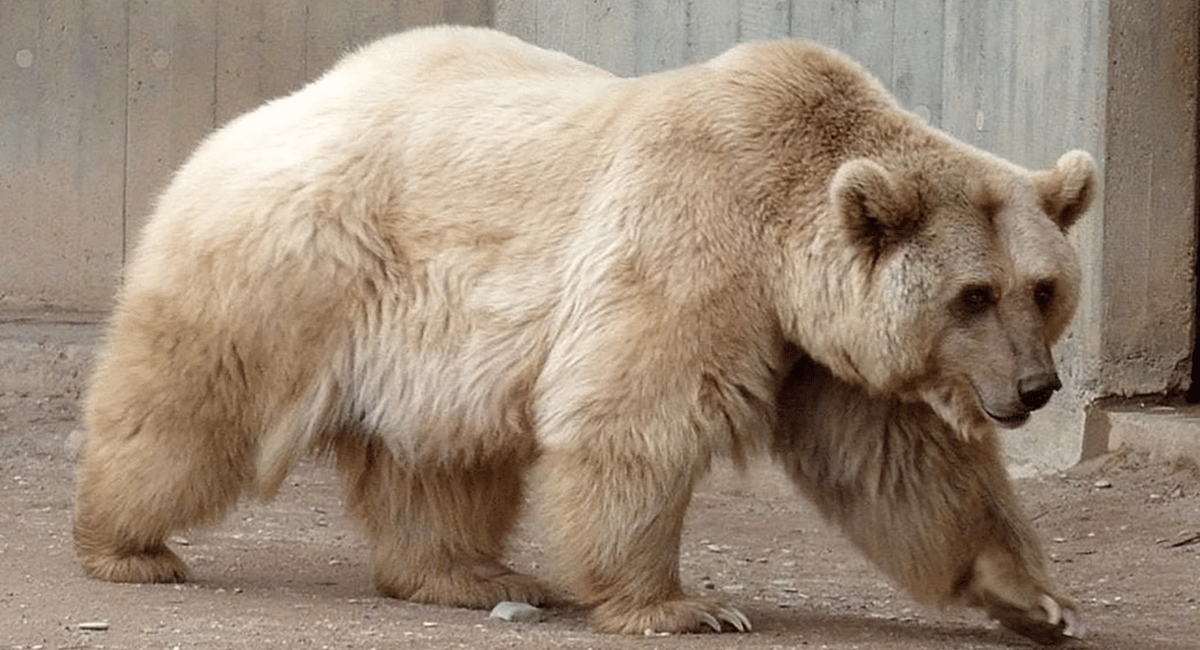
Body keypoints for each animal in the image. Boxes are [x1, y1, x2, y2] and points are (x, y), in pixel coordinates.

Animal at [70, 25, 1094, 647]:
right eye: (973, 294)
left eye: (1042, 289)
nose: (1035, 388)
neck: (784, 240)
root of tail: (253, 115)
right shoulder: (694, 243)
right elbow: (638, 415)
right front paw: (685, 605)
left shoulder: (820, 348)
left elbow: (903, 464)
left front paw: (1035, 598)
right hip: (296, 265)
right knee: (192, 403)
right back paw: (127, 545)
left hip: (433, 342)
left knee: (440, 461)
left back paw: (469, 573)